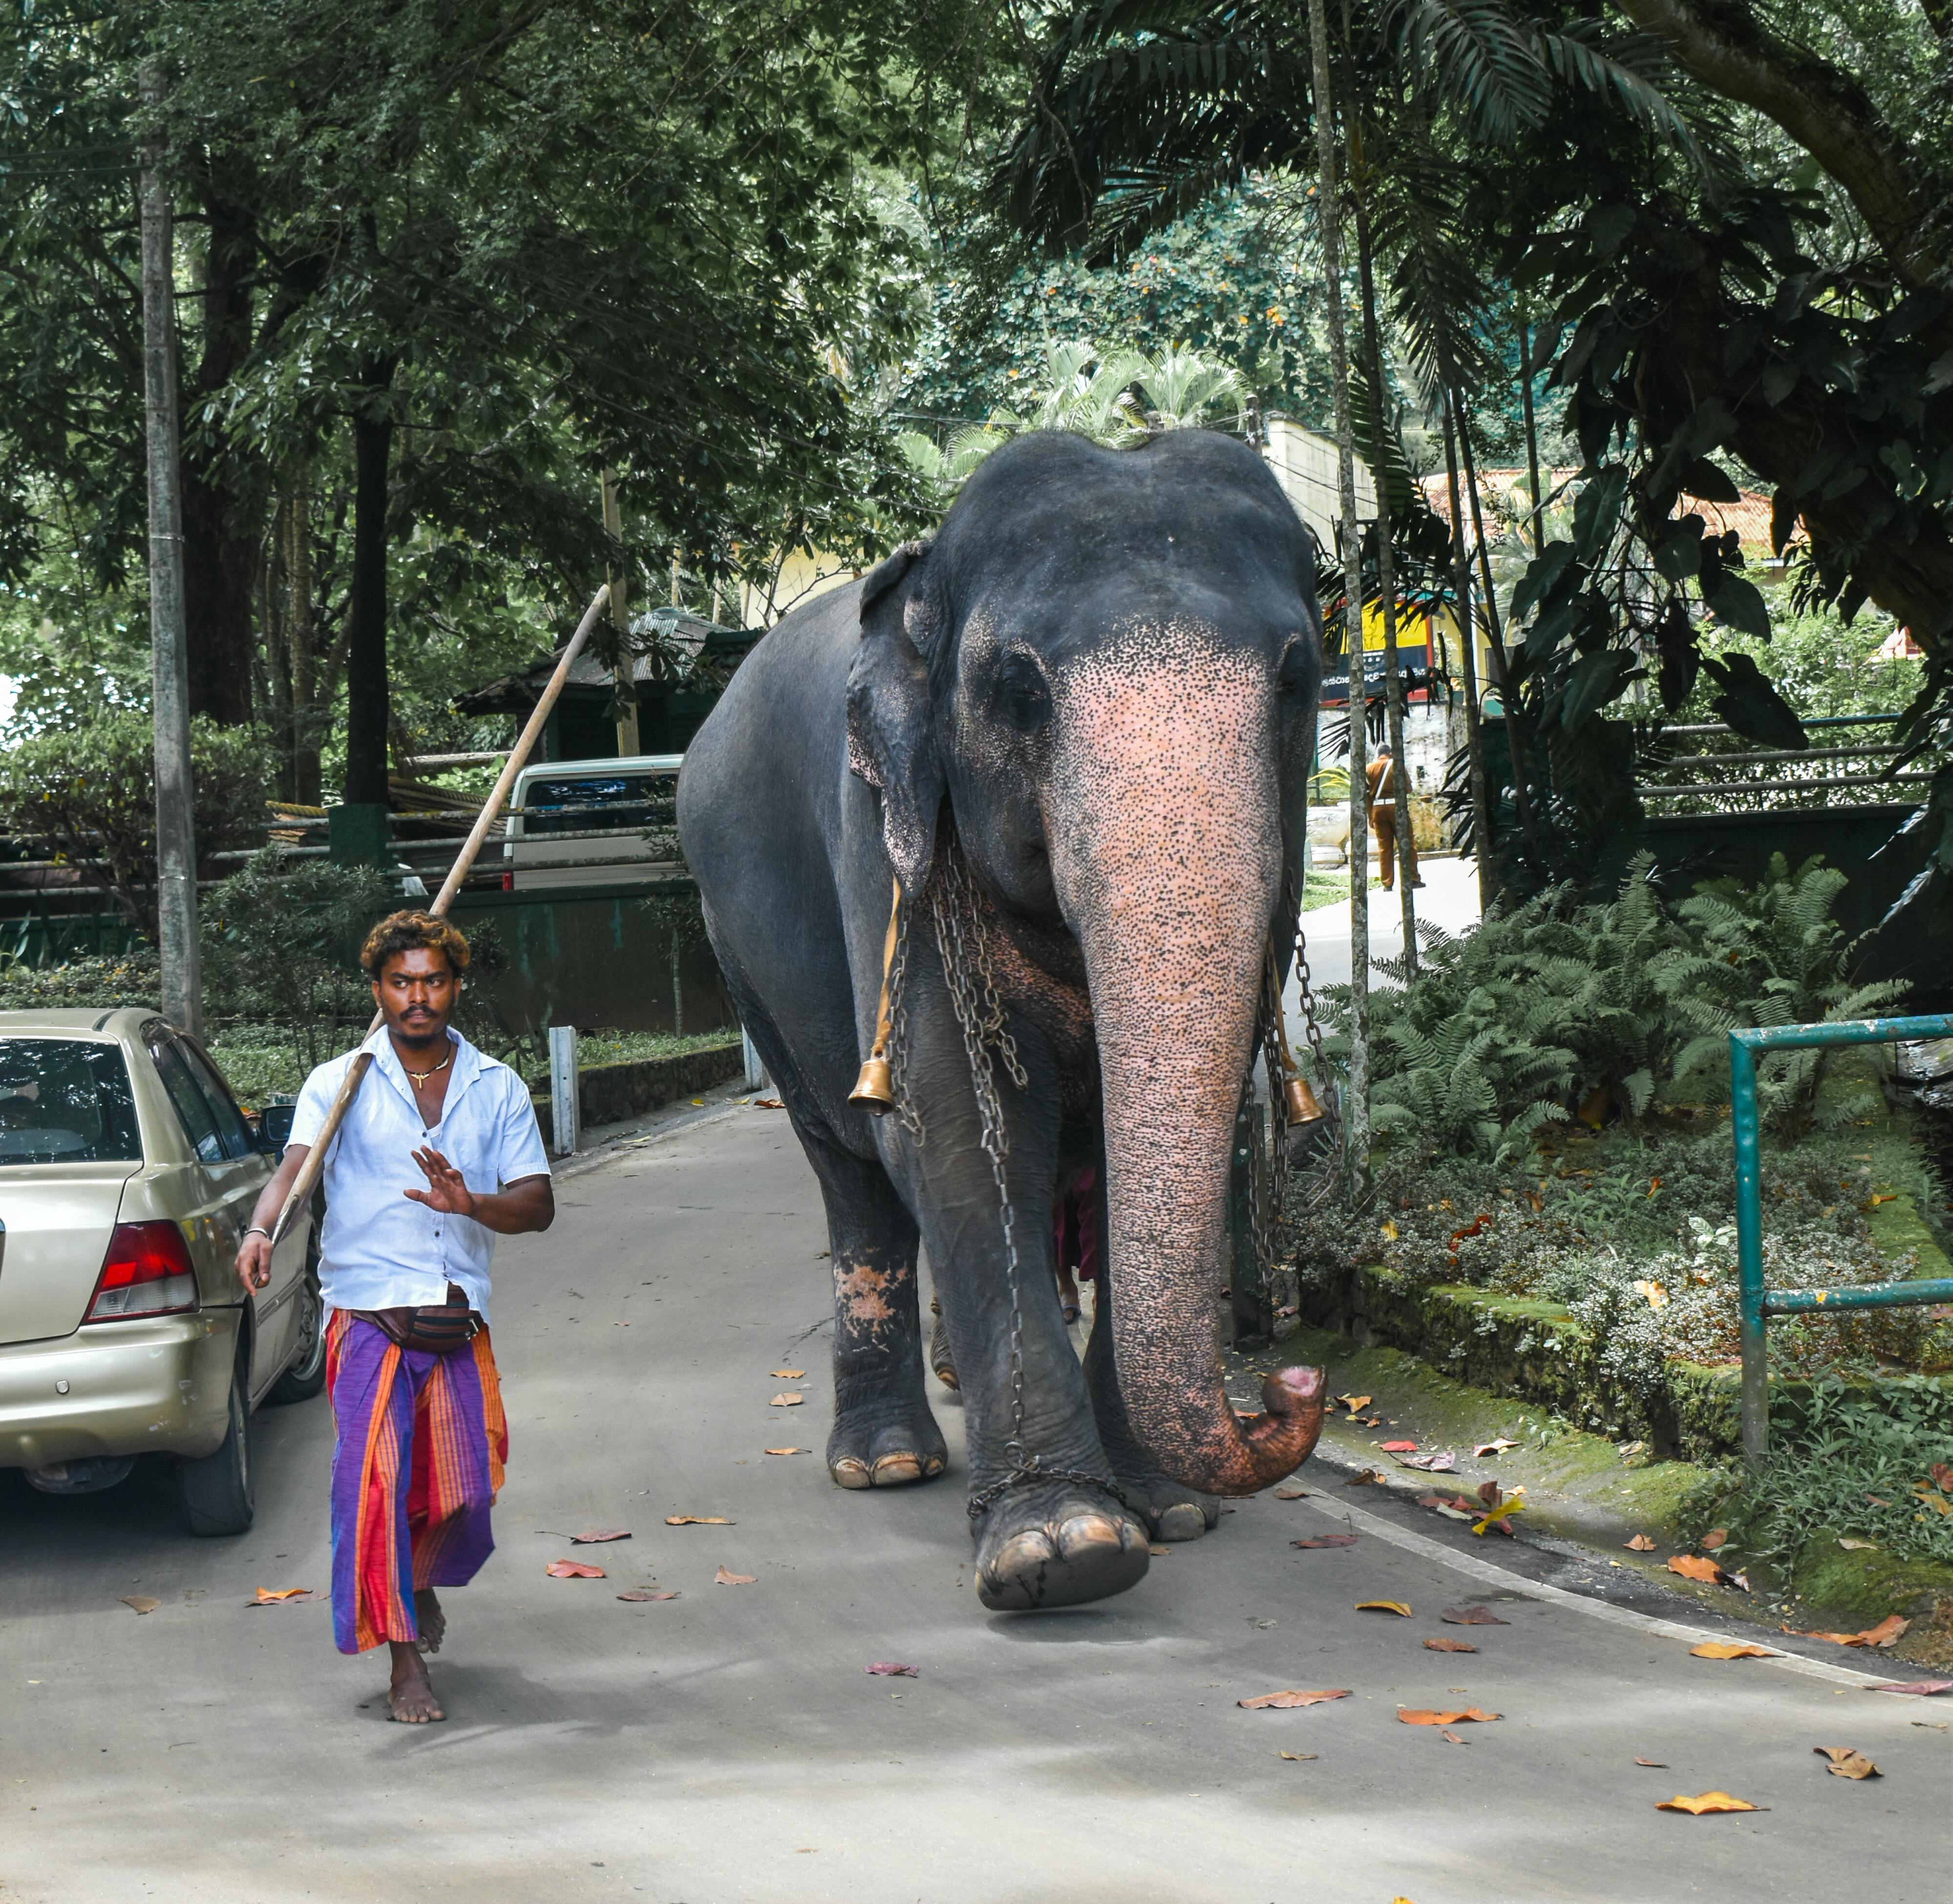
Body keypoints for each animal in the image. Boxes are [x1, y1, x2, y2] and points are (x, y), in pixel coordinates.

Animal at [677, 428, 1328, 1611]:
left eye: (1299, 681)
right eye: (1016, 690)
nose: (1290, 1385)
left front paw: (1166, 1511)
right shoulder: (890, 850)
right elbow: (951, 1137)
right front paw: (1065, 1548)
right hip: (734, 946)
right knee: (852, 1171)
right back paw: (886, 1461)